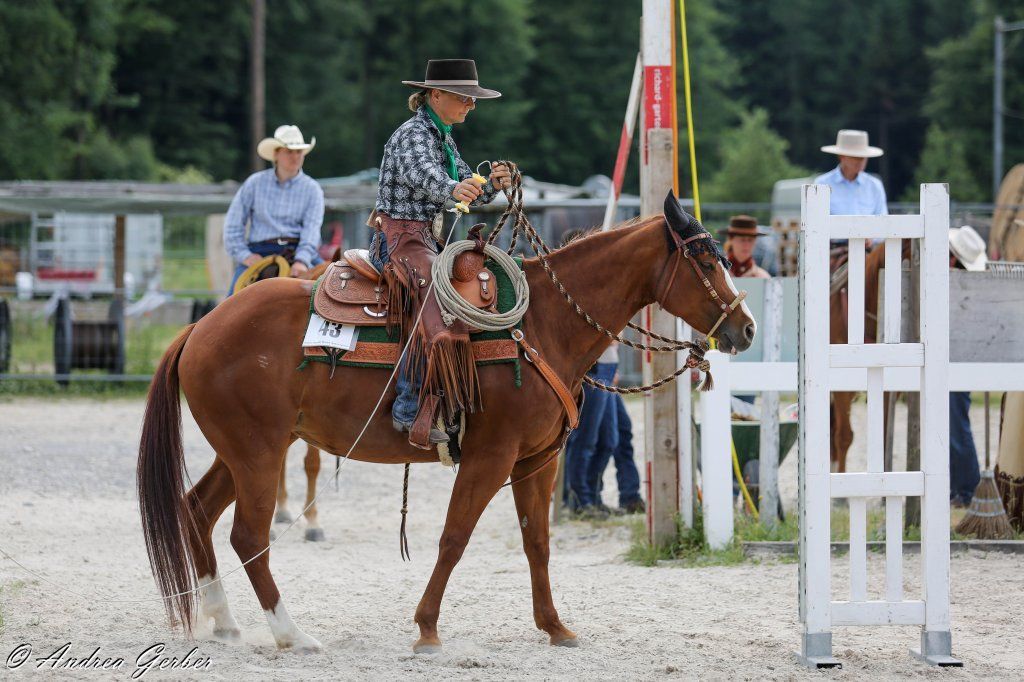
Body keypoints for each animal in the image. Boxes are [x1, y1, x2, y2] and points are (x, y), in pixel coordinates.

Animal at [136, 194, 756, 653]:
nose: (746, 328)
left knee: (197, 510)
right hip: (259, 453)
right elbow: (455, 538)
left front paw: (555, 627)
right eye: (707, 262)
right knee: (247, 535)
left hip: (244, 452)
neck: (543, 325)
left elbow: (537, 542)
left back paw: (223, 621)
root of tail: (200, 328)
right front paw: (428, 629)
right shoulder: (490, 457)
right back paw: (293, 634)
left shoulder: (537, 462)